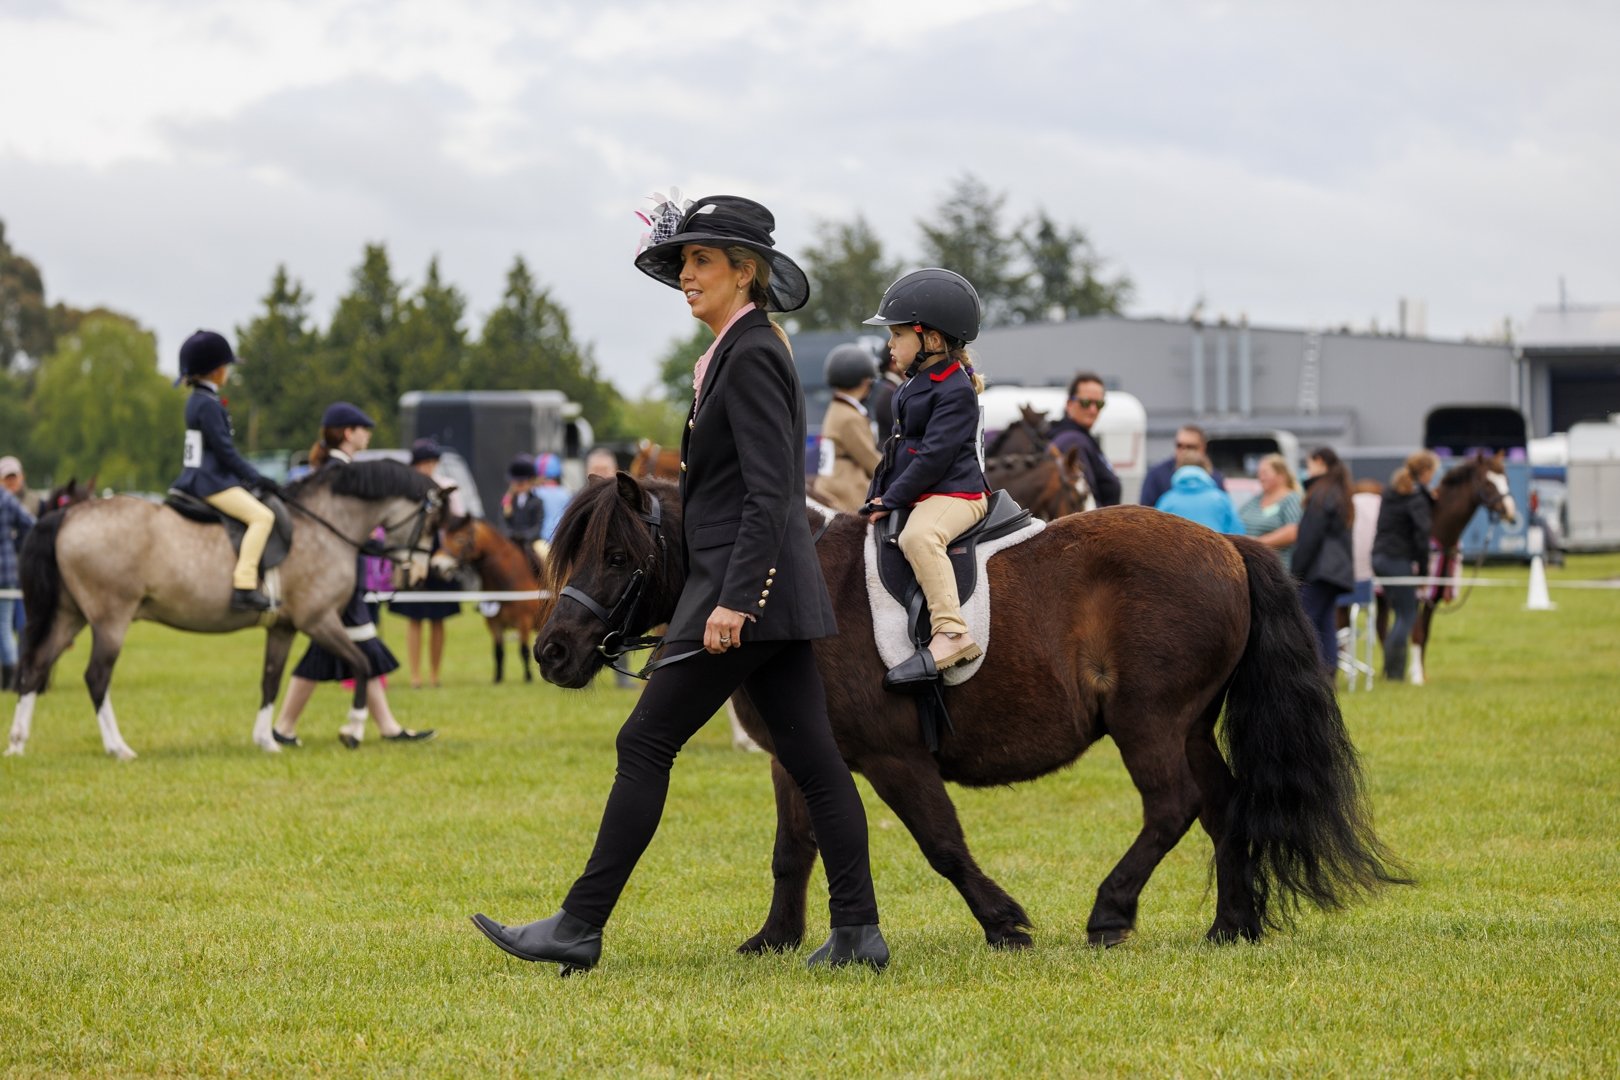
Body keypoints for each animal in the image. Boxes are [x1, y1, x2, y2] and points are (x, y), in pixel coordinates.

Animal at [437, 518, 544, 683]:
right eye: (445, 537)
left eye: (459, 538)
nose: (436, 564)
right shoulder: (494, 623)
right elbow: (498, 651)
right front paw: (497, 679)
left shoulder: (524, 621)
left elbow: (524, 651)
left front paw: (528, 678)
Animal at [531, 476, 1406, 952]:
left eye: (617, 557)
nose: (552, 653)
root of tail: (1228, 546)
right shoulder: (793, 754)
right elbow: (792, 851)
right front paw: (773, 939)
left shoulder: (894, 759)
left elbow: (941, 843)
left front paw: (1005, 921)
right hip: (1187, 724)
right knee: (1224, 808)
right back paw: (1232, 924)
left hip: (1150, 721)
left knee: (1174, 806)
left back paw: (1110, 911)